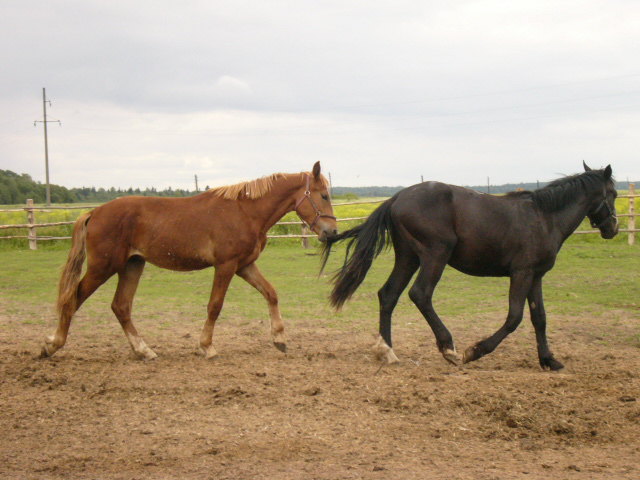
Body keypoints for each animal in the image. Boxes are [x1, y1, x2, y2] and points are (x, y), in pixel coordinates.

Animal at [42, 161, 338, 360]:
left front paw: (279, 339)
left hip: (132, 266)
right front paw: (207, 347)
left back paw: (144, 351)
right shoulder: (226, 266)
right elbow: (214, 306)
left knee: (121, 307)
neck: (245, 211)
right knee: (73, 299)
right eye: (323, 195)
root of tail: (94, 212)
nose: (331, 232)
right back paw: (52, 345)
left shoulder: (244, 265)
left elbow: (271, 294)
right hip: (103, 267)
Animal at [322, 163, 616, 370]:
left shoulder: (536, 276)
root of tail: (396, 198)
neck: (544, 218)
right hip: (435, 254)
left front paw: (549, 360)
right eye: (612, 194)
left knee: (388, 294)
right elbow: (514, 317)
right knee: (420, 294)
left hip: (408, 257)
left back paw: (387, 351)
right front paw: (475, 351)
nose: (612, 228)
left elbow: (540, 318)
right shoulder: (521, 273)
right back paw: (448, 348)